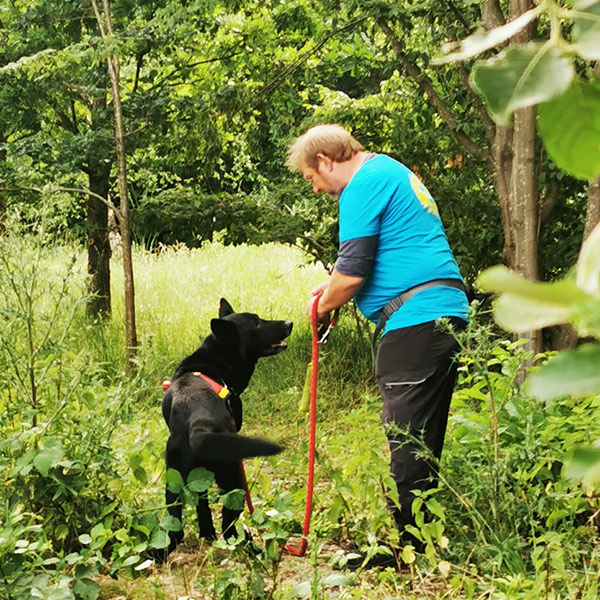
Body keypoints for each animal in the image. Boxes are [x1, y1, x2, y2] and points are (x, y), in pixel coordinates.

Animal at [157, 298, 292, 556]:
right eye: (256, 323)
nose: (289, 322)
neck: (213, 361)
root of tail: (198, 423)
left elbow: (202, 505)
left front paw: (206, 533)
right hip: (234, 477)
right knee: (230, 524)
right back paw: (250, 549)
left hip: (174, 480)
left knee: (176, 527)